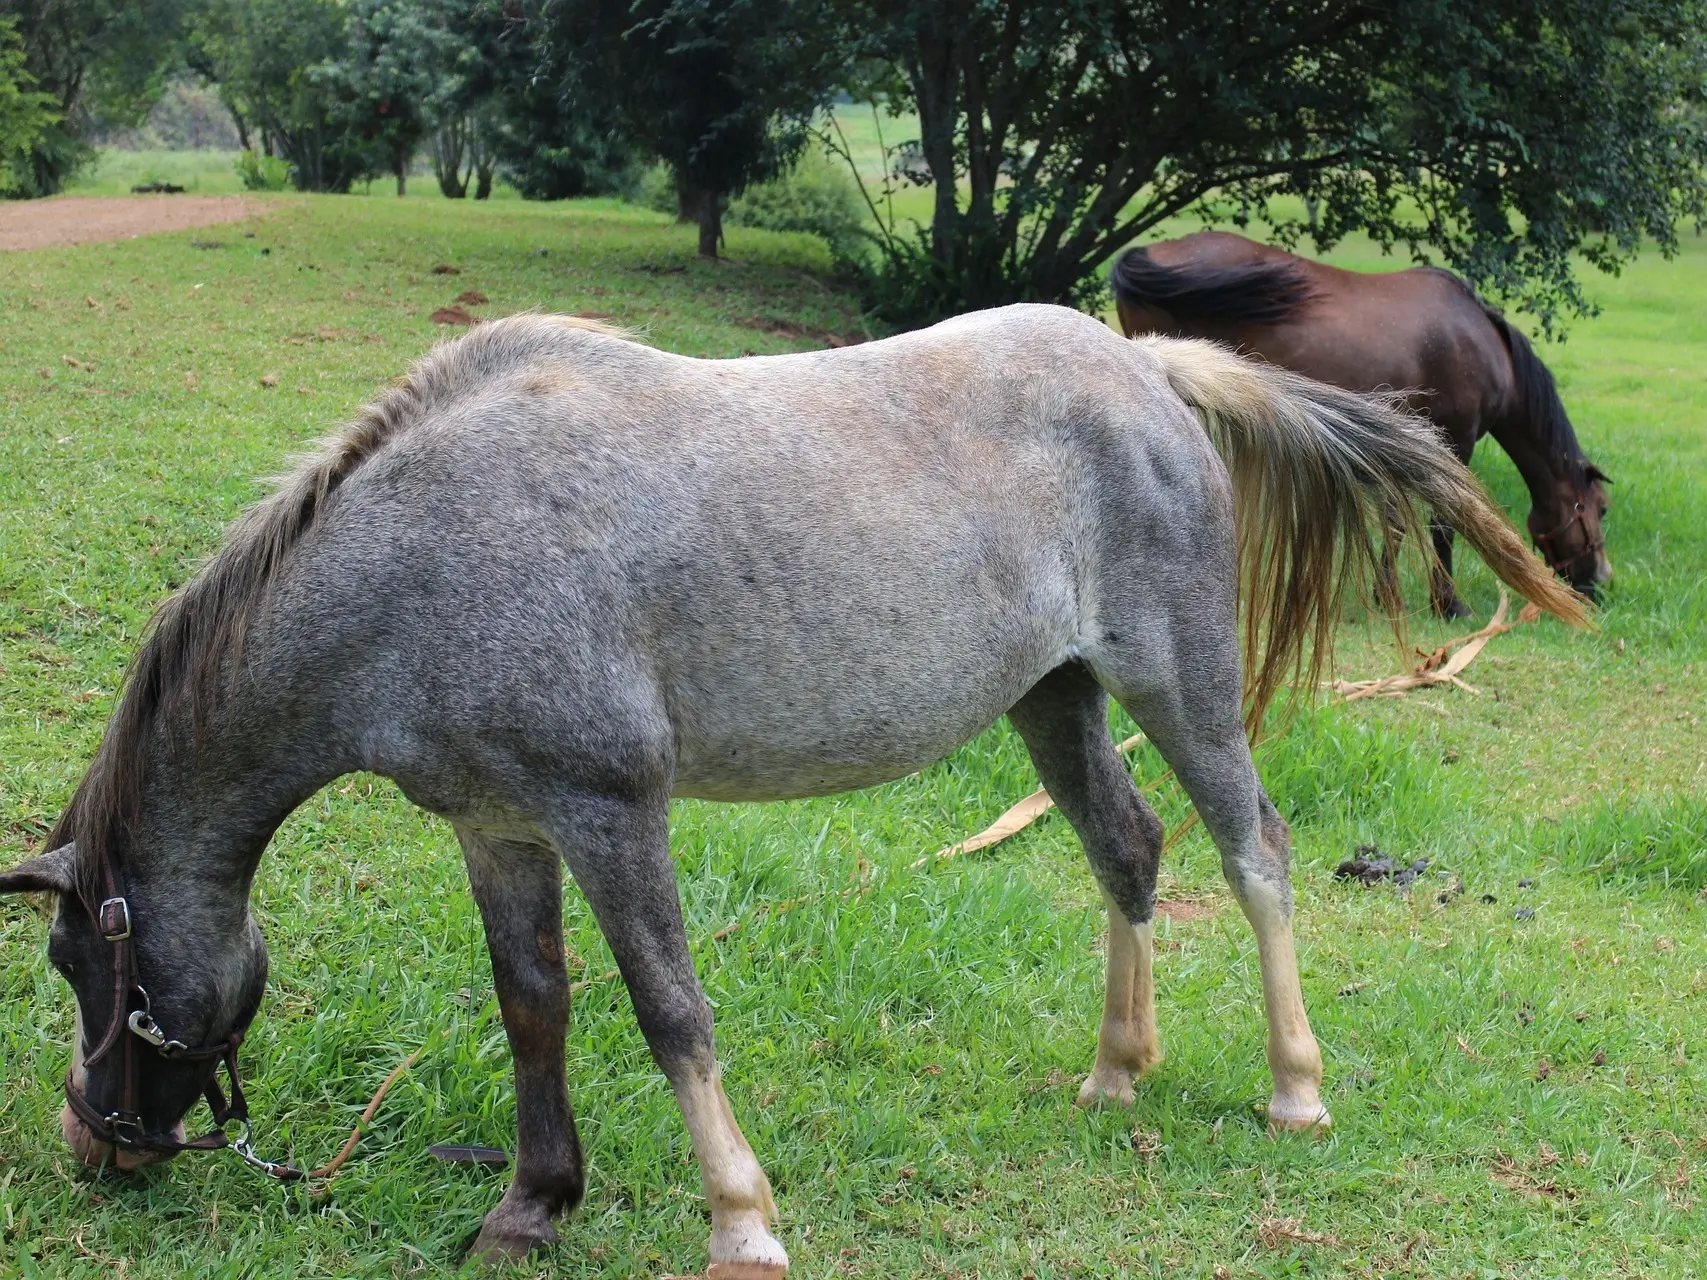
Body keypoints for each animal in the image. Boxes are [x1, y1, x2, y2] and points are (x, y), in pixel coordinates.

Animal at [0, 305, 1584, 1276]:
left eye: (83, 962)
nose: (96, 1142)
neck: (425, 558)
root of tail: (1149, 365)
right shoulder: (501, 827)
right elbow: (534, 1007)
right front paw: (531, 1206)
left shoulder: (608, 812)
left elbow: (668, 1011)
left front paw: (739, 1221)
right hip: (1054, 699)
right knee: (1128, 851)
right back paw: (1114, 1069)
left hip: (1175, 683)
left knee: (1252, 849)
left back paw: (1294, 1090)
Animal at [1106, 233, 1611, 617]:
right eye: (1601, 509)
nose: (1600, 583)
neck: (1483, 344)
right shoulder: (1454, 441)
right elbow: (1442, 524)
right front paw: (1447, 603)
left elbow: (1395, 521)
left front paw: (1386, 594)